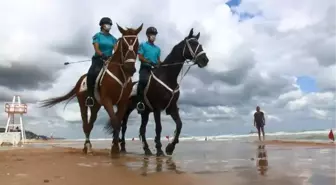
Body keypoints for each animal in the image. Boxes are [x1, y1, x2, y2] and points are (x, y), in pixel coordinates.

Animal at [39, 23, 143, 156]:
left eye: (137, 45)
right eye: (124, 46)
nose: (130, 68)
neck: (120, 73)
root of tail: (80, 81)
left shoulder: (123, 103)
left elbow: (118, 122)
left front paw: (116, 147)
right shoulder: (107, 100)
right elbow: (114, 121)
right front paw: (114, 148)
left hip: (96, 105)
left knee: (91, 122)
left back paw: (88, 145)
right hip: (83, 103)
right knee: (85, 124)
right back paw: (87, 147)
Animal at [107, 28, 209, 156]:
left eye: (200, 44)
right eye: (192, 43)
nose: (205, 60)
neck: (167, 77)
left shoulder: (172, 107)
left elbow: (179, 125)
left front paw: (170, 147)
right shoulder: (157, 108)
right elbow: (159, 128)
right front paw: (160, 149)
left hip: (144, 112)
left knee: (142, 129)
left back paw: (146, 149)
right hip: (127, 109)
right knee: (123, 126)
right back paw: (122, 148)